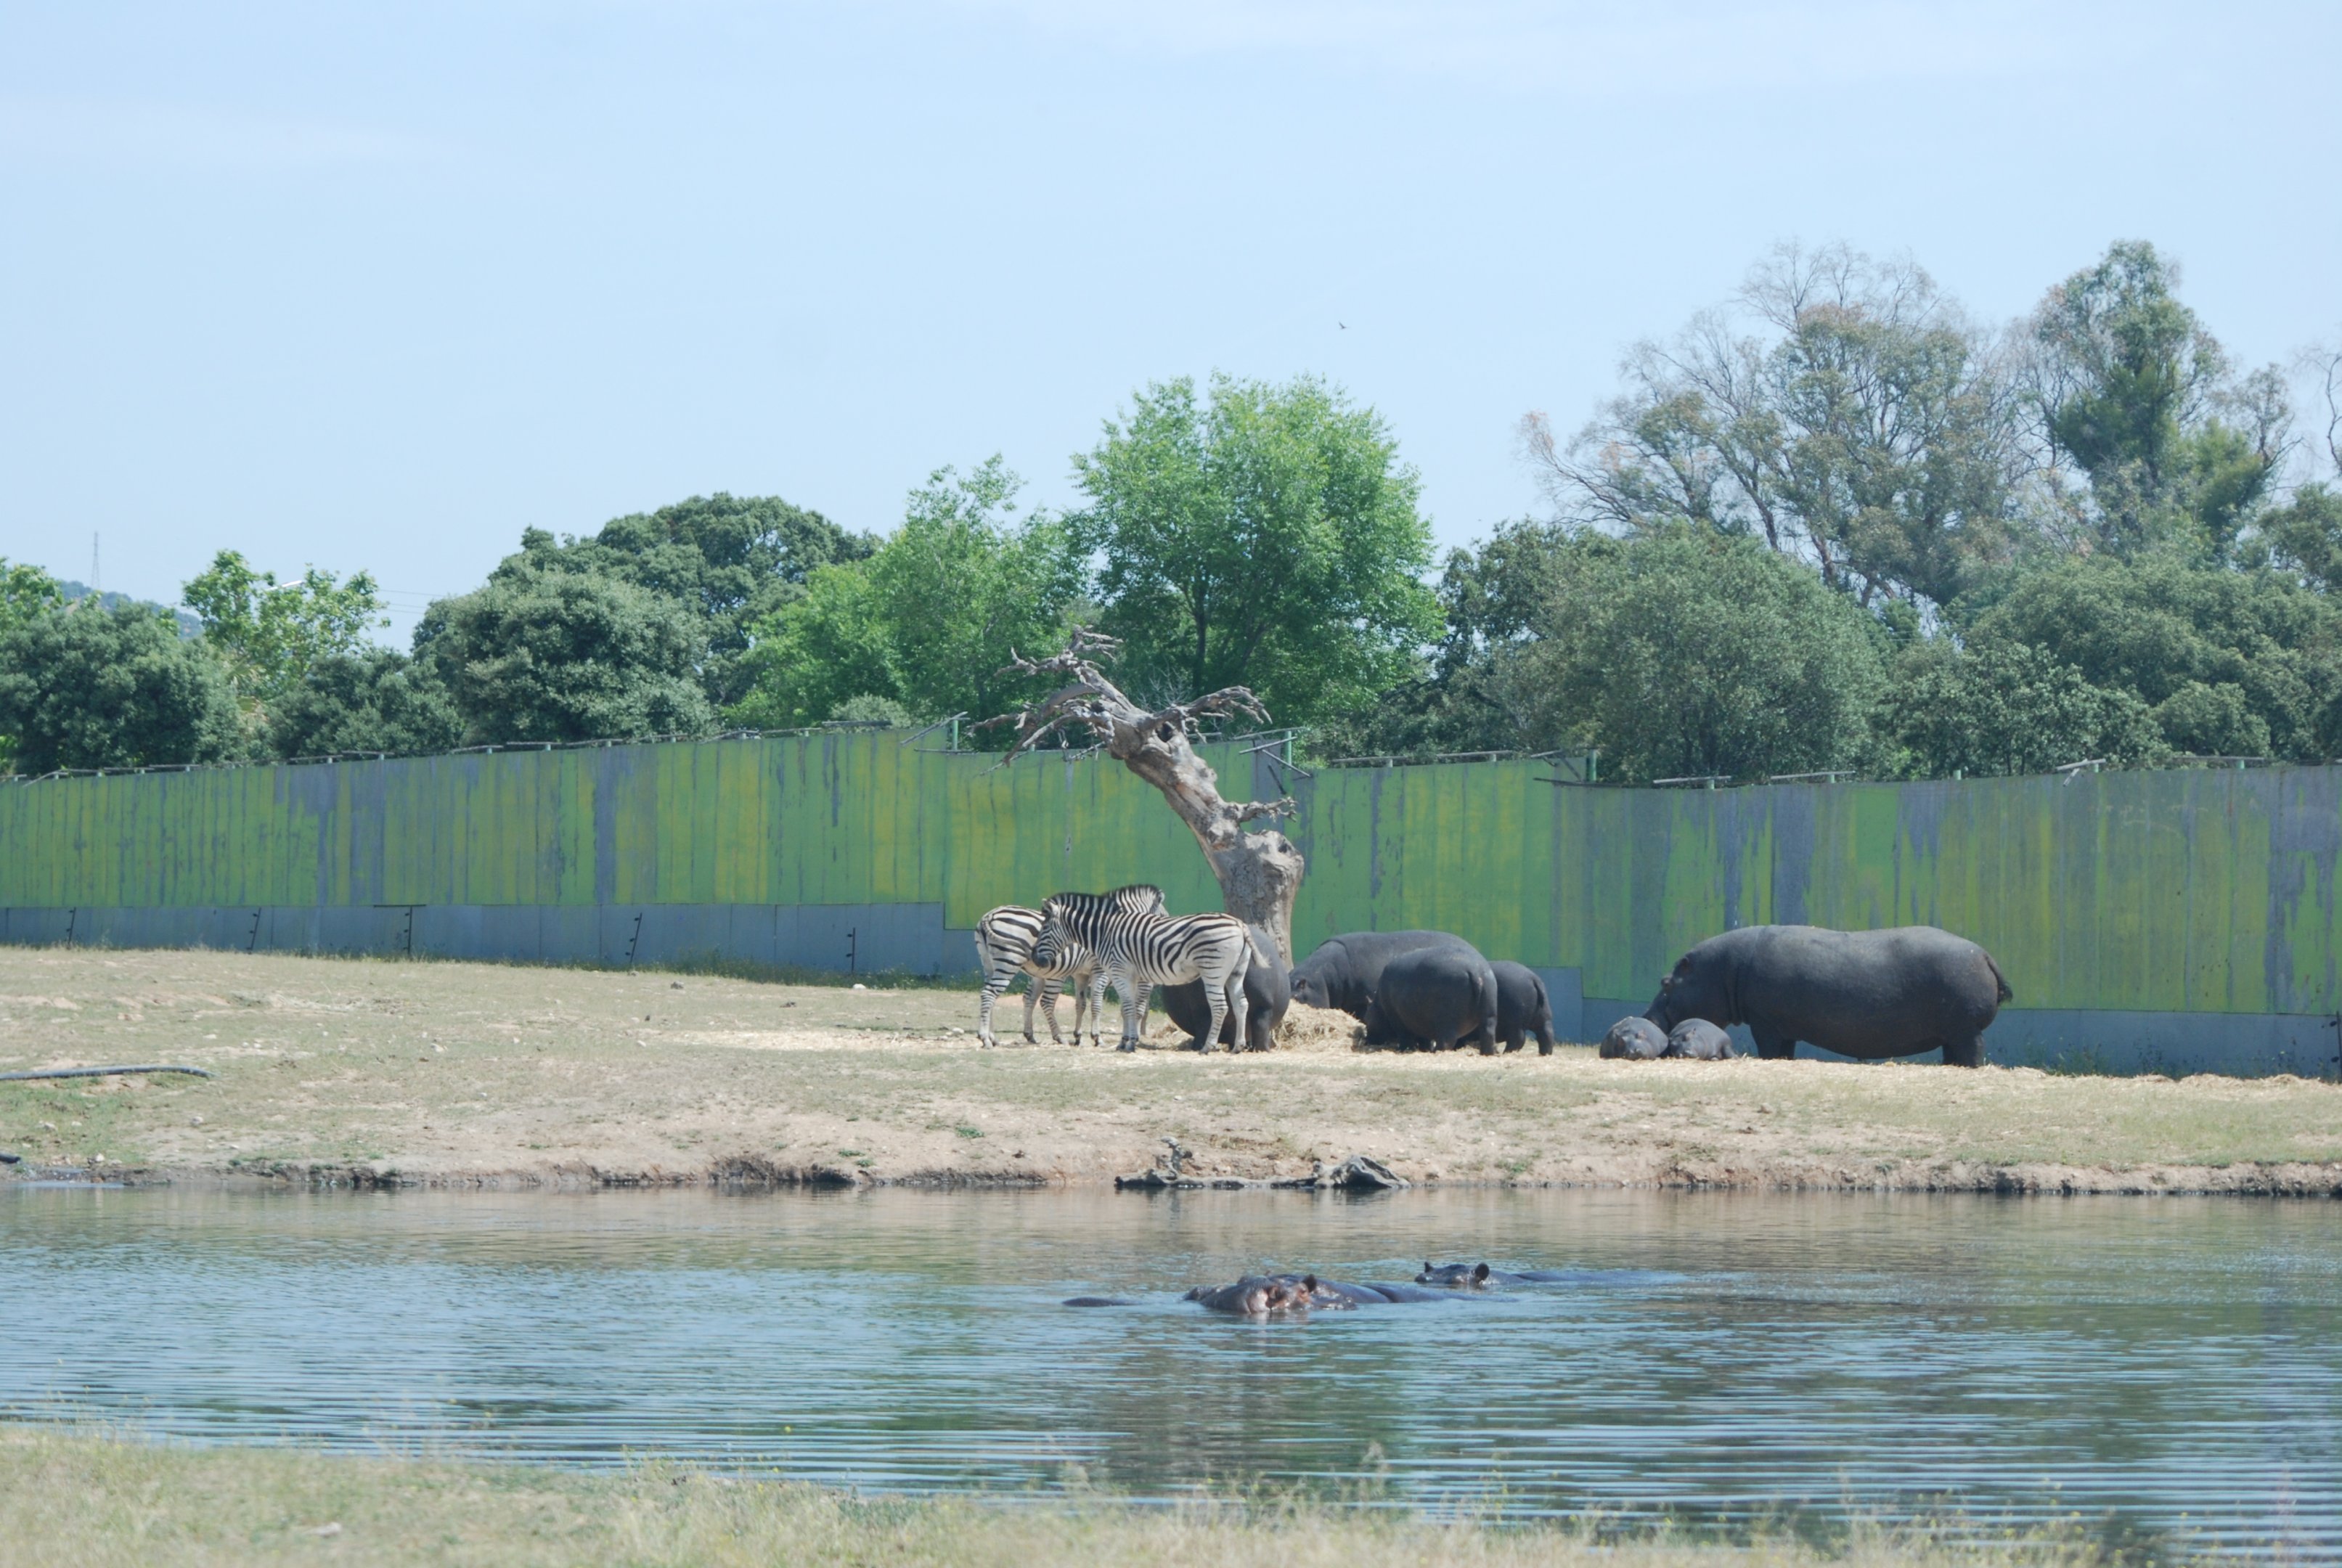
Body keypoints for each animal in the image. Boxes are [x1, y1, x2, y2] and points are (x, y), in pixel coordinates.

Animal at [974, 886, 1165, 1047]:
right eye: (1163, 915)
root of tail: (988, 916)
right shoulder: (1102, 972)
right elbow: (1113, 1006)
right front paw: (1100, 1038)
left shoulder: (1082, 974)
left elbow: (1082, 1004)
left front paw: (1079, 1037)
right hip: (1010, 961)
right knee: (991, 994)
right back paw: (986, 1039)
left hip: (990, 964)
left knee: (996, 996)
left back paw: (995, 1037)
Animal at [1034, 893, 1253, 1053]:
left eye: (1045, 928)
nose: (1035, 958)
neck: (1104, 933)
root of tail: (1240, 924)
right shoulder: (1130, 976)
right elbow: (1127, 1009)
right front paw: (1125, 1042)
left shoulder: (1120, 972)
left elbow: (1129, 1008)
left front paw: (1129, 1043)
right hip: (1236, 973)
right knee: (1241, 1004)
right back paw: (1238, 1046)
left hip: (1213, 971)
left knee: (1220, 1007)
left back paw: (1208, 1046)